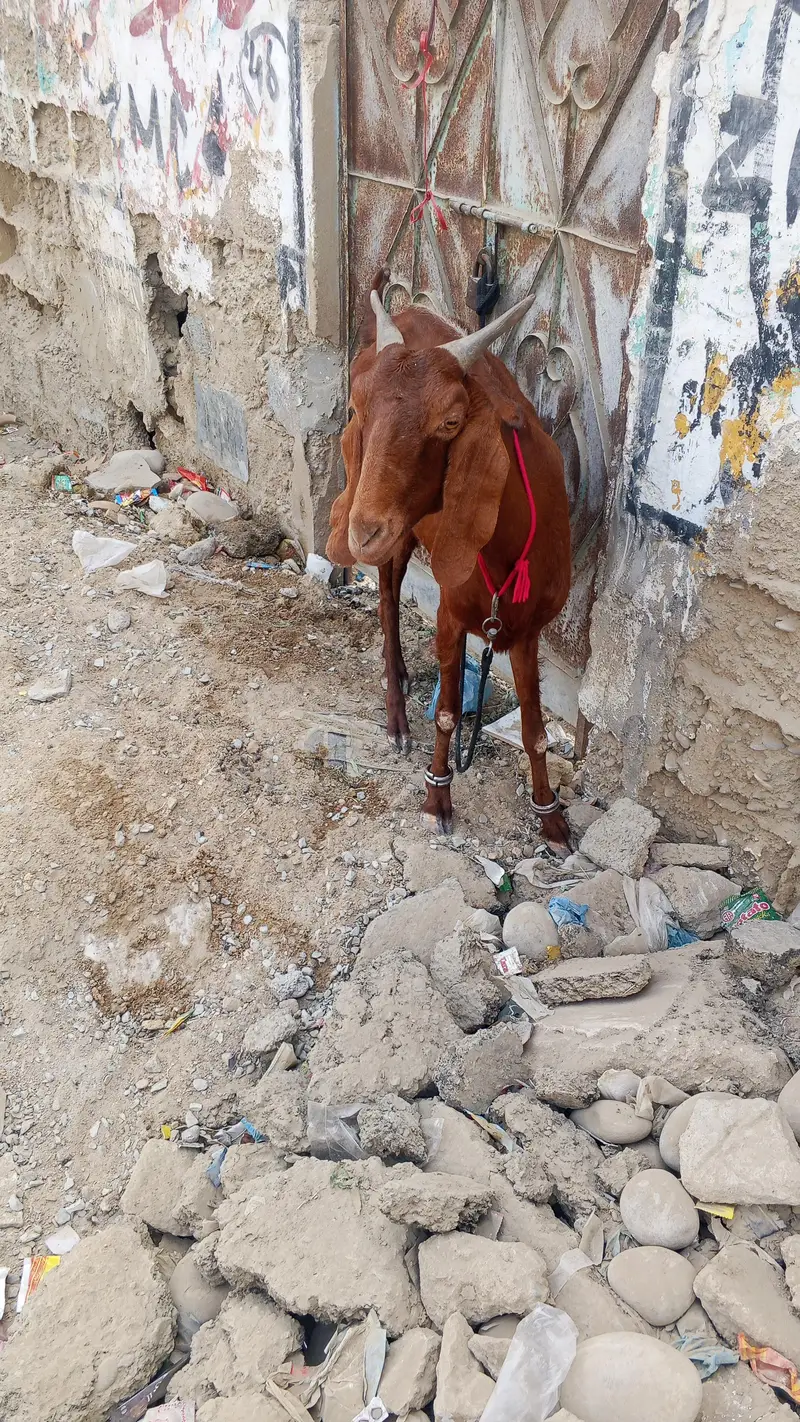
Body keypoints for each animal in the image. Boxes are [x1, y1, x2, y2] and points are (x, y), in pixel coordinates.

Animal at [326, 272, 572, 850]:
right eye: (358, 408)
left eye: (451, 422)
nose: (363, 531)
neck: (503, 554)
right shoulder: (450, 611)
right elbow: (445, 713)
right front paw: (437, 798)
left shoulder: (527, 628)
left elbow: (536, 729)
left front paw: (549, 813)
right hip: (398, 535)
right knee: (388, 600)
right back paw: (396, 714)